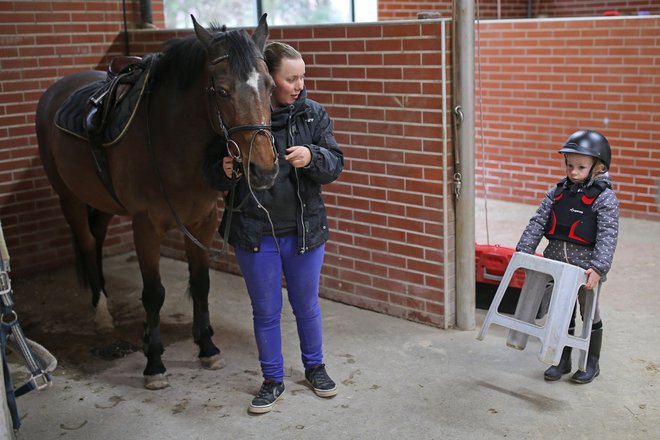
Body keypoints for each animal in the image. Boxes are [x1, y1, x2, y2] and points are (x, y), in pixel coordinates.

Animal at [33, 15, 278, 390]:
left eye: (268, 85)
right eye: (222, 91)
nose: (262, 169)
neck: (172, 140)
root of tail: (56, 91)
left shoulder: (202, 222)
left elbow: (201, 284)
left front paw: (207, 347)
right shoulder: (146, 227)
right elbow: (153, 293)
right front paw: (154, 363)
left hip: (101, 201)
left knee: (98, 238)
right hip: (69, 198)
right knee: (87, 243)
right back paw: (100, 312)